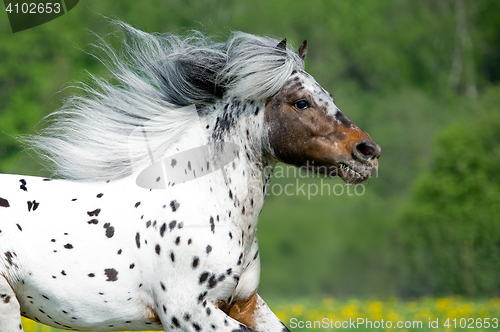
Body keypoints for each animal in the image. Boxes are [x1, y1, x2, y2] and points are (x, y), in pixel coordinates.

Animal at [0, 22, 378, 332]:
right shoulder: (188, 314)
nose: (368, 152)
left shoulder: (245, 303)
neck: (204, 203)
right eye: (301, 102)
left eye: (329, 96)